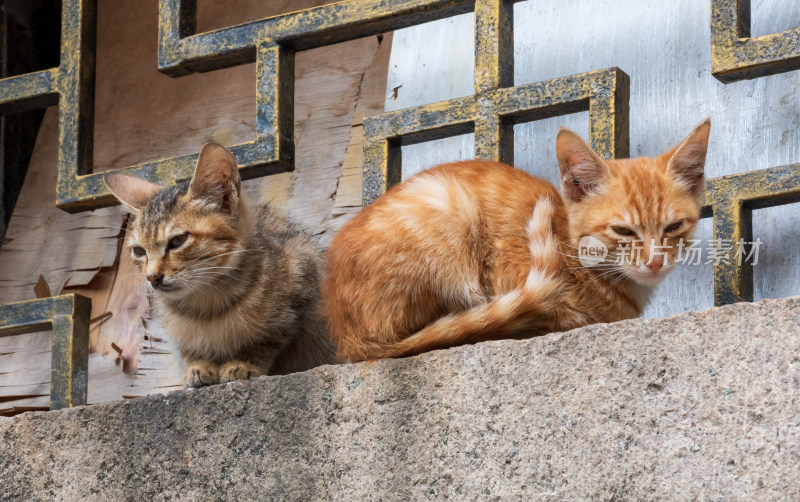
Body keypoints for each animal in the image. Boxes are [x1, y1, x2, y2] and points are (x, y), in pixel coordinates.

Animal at [105, 143, 334, 386]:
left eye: (177, 241)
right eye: (139, 251)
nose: (152, 277)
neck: (207, 305)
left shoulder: (295, 300)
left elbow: (264, 342)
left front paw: (243, 364)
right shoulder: (180, 338)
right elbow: (189, 350)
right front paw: (198, 366)